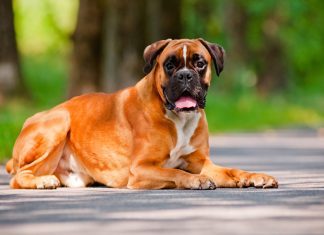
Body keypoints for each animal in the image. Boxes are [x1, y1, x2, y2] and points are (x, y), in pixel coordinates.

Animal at [5, 38, 278, 189]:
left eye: (200, 63)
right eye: (169, 64)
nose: (185, 75)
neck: (179, 120)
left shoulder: (201, 163)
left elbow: (233, 170)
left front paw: (255, 176)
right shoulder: (141, 169)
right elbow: (173, 172)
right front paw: (195, 181)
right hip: (59, 120)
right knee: (20, 175)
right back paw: (42, 181)